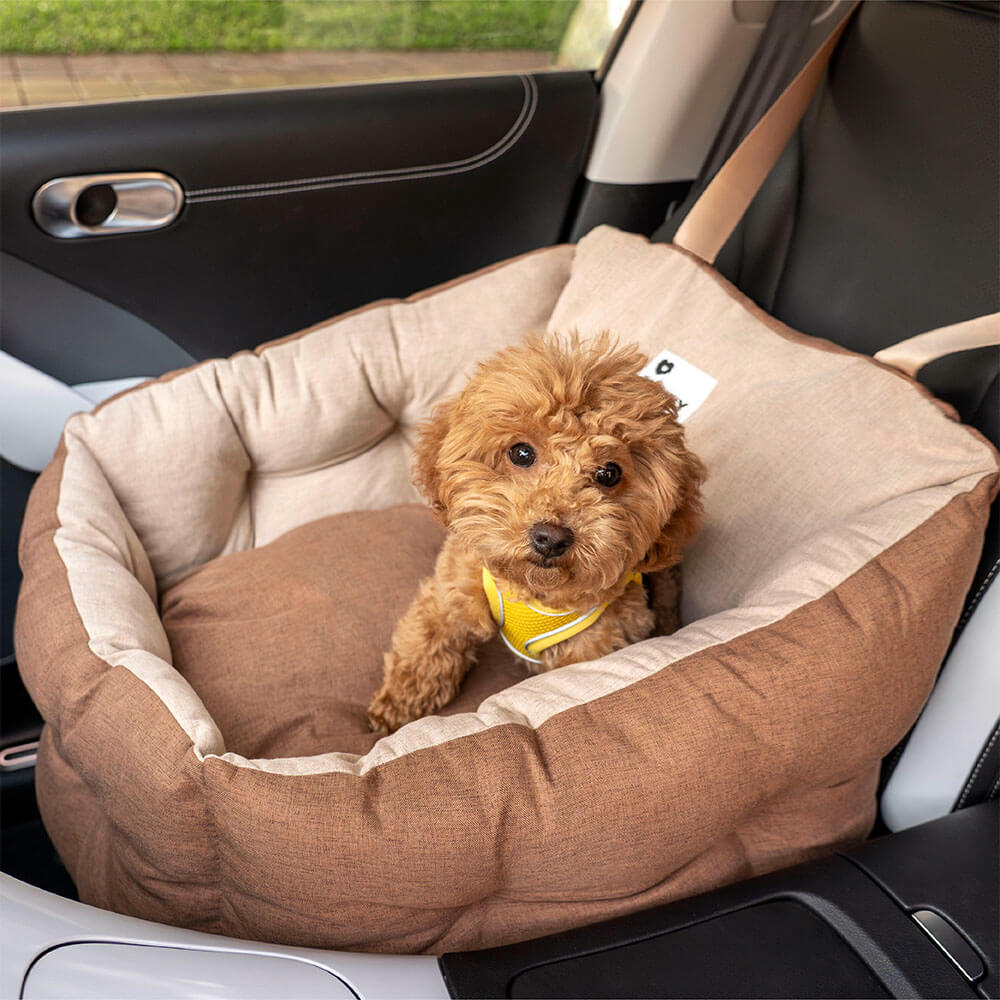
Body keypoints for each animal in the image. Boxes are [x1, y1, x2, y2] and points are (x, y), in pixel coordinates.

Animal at [368, 332, 704, 732]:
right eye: (522, 453)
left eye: (609, 474)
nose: (551, 537)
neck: (531, 590)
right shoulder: (453, 587)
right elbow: (427, 641)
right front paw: (394, 705)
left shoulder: (596, 644)